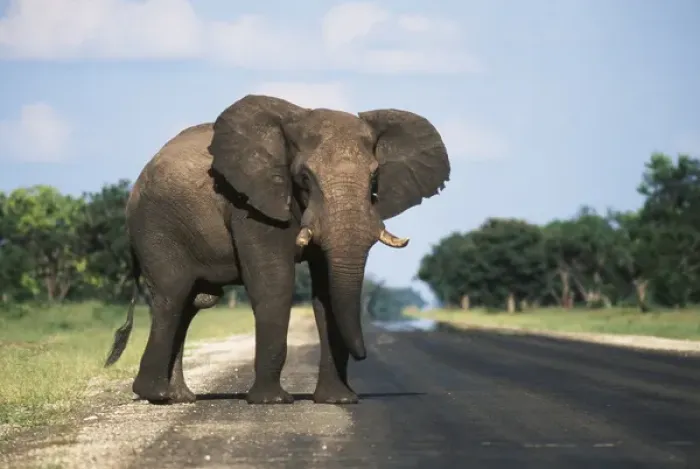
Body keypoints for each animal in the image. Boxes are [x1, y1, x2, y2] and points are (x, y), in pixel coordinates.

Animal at [103, 94, 450, 406]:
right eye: (304, 178)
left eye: (375, 178)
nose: (365, 356)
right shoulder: (250, 203)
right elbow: (275, 283)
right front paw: (272, 401)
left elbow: (326, 293)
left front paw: (338, 400)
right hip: (155, 226)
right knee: (172, 295)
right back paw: (155, 395)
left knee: (190, 304)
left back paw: (180, 397)